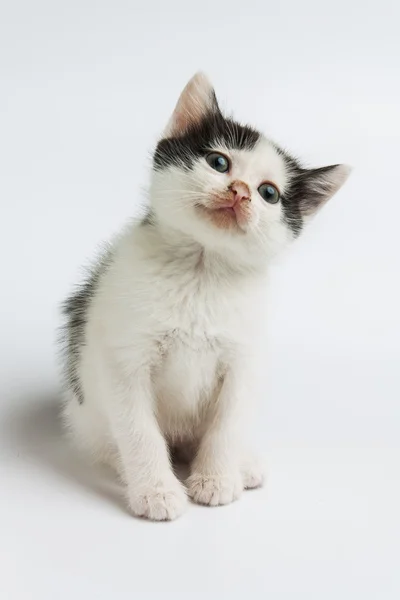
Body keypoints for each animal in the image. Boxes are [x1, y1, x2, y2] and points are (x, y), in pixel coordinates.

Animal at [61, 71, 350, 520]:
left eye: (269, 193)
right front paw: (156, 491)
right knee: (106, 438)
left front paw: (216, 479)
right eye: (219, 163)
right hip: (87, 406)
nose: (240, 191)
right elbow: (138, 429)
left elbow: (227, 425)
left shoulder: (243, 360)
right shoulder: (124, 360)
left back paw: (242, 464)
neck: (201, 271)